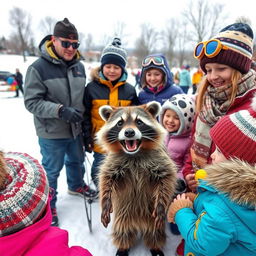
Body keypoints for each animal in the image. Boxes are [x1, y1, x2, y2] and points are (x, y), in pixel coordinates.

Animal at [97, 101, 177, 255]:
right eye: (120, 123)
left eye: (139, 122)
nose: (129, 132)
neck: (134, 154)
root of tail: (139, 221)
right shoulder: (114, 163)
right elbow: (106, 180)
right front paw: (105, 203)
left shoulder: (160, 160)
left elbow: (166, 180)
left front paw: (161, 205)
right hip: (123, 211)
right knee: (122, 228)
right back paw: (123, 246)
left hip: (150, 216)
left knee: (155, 231)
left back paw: (155, 246)